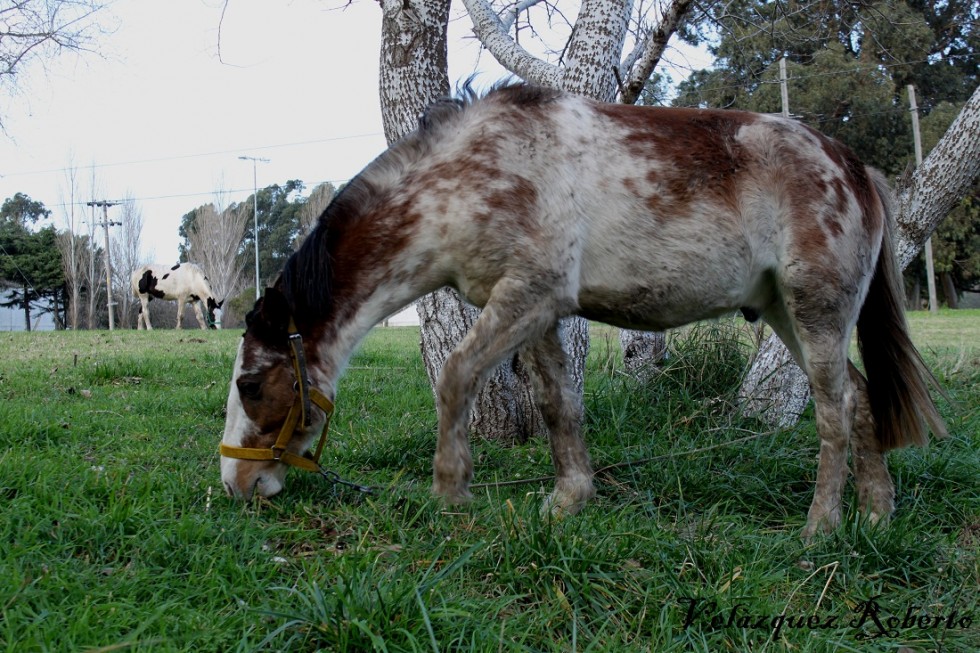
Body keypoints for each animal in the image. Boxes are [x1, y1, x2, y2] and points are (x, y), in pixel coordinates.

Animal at [216, 84, 940, 536]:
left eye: (250, 385)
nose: (234, 485)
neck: (468, 175)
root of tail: (854, 165)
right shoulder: (533, 309)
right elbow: (557, 404)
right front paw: (568, 502)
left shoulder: (529, 296)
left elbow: (455, 377)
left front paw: (451, 494)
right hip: (789, 315)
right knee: (858, 398)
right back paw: (877, 515)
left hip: (815, 313)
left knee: (832, 413)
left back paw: (820, 527)